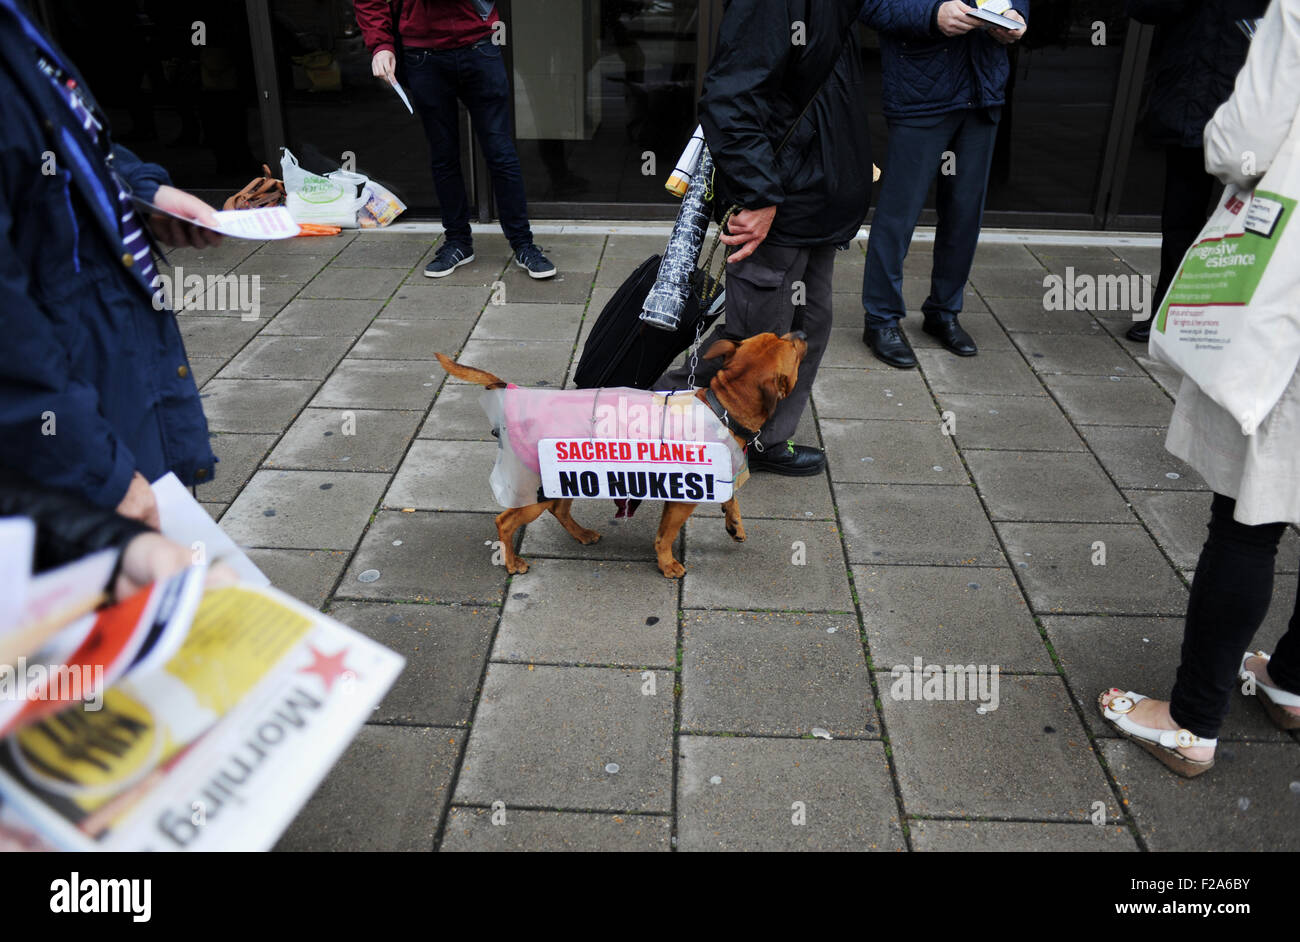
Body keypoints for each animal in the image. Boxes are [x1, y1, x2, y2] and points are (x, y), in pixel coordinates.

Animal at [434, 331, 800, 579]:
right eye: (795, 352)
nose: (800, 333)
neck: (722, 406)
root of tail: (513, 394)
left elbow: (732, 500)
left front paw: (734, 524)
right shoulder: (681, 499)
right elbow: (665, 535)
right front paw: (667, 564)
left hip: (567, 478)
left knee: (559, 509)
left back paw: (582, 534)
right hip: (536, 490)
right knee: (505, 522)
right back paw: (511, 562)